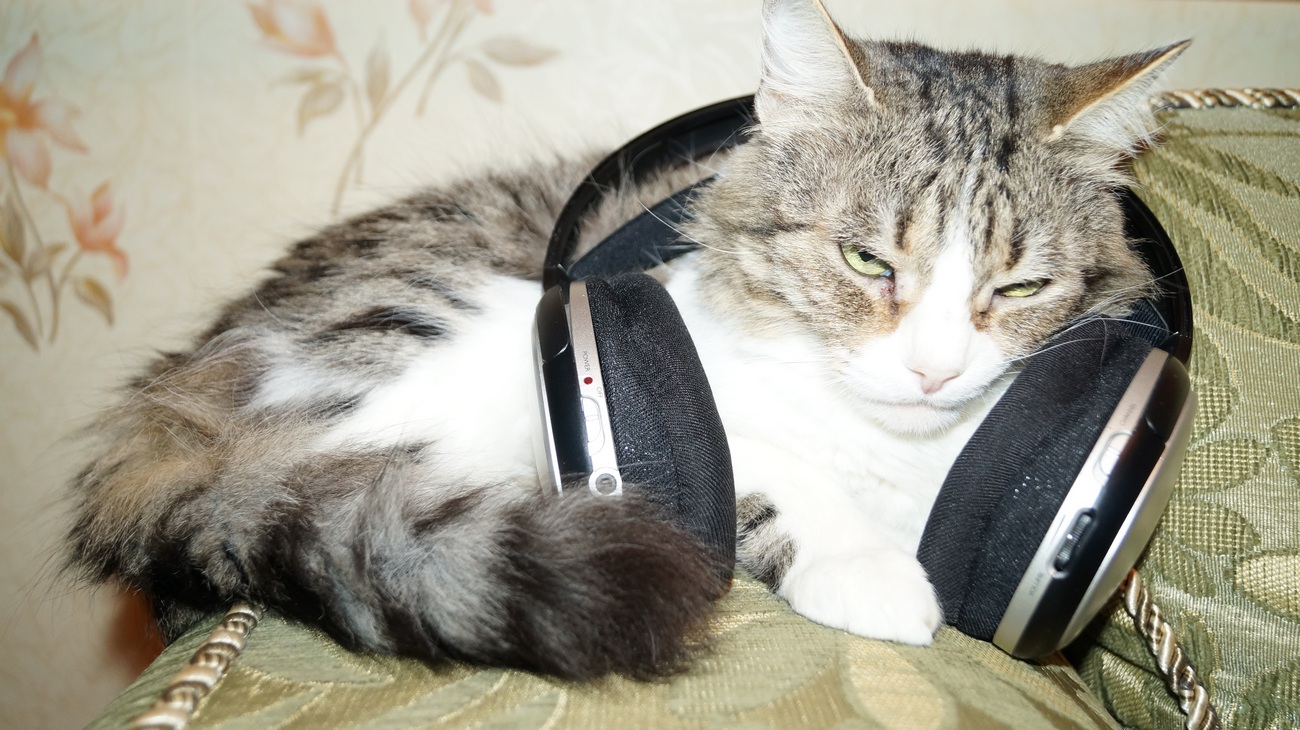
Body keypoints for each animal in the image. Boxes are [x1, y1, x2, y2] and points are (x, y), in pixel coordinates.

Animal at [65, 0, 1185, 680]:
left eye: (1019, 286)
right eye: (867, 261)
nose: (932, 368)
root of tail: (161, 413)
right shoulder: (678, 396)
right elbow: (758, 470)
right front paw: (871, 572)